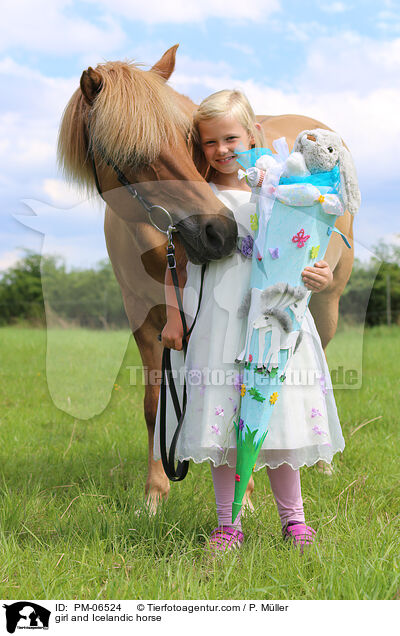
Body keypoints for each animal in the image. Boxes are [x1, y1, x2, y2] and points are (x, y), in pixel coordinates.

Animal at [58, 44, 354, 512]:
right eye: (127, 155)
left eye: (185, 138)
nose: (220, 232)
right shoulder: (146, 319)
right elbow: (155, 404)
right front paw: (155, 493)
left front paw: (244, 496)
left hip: (327, 306)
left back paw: (321, 464)